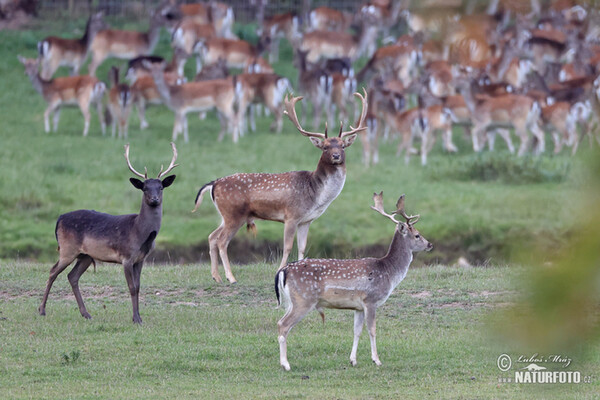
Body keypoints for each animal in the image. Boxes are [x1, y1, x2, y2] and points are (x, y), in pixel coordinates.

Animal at [38, 142, 176, 324]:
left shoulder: (141, 259)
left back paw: (86, 313)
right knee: (53, 271)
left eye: (160, 187)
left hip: (85, 255)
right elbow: (132, 287)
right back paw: (42, 310)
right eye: (145, 188)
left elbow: (139, 287)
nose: (155, 199)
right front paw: (136, 318)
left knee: (72, 276)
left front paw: (139, 317)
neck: (140, 233)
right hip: (68, 249)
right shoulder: (126, 257)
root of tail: (59, 218)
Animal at [192, 91, 370, 284]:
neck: (316, 195)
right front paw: (279, 270)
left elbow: (302, 247)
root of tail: (213, 184)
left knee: (212, 236)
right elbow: (287, 247)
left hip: (226, 215)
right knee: (222, 241)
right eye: (325, 147)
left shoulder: (306, 220)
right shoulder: (291, 215)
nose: (336, 155)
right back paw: (230, 277)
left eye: (343, 146)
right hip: (233, 214)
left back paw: (216, 276)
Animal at [274, 192, 434, 370]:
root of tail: (283, 271)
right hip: (304, 300)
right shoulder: (371, 300)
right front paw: (376, 360)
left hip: (292, 301)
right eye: (417, 235)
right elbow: (372, 330)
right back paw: (285, 364)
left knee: (281, 323)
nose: (430, 244)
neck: (388, 272)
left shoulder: (358, 306)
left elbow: (357, 331)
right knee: (283, 325)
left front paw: (353, 360)